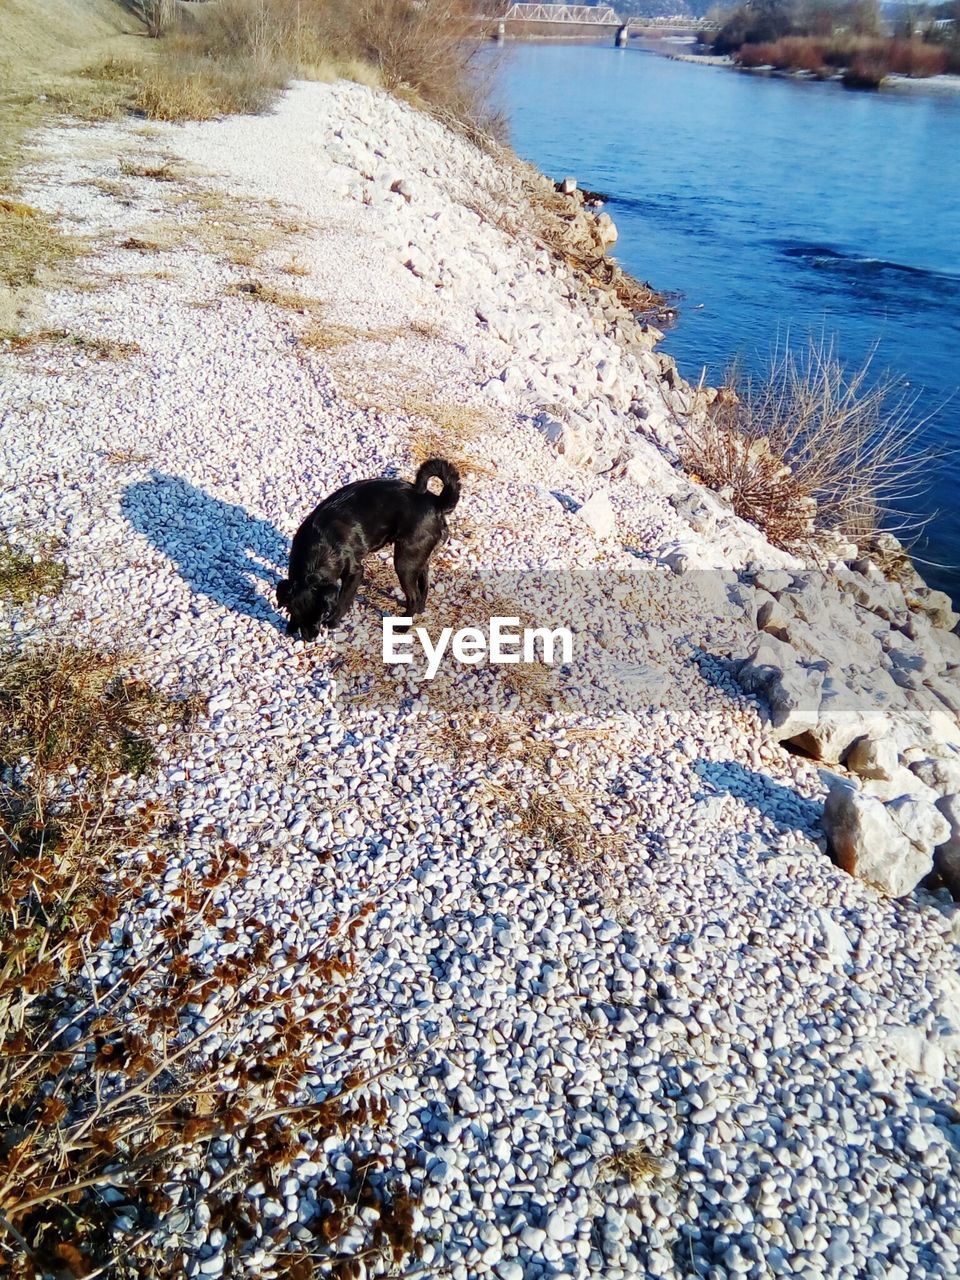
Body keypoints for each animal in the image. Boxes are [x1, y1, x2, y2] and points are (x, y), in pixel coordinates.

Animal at [277, 460, 463, 640]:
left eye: (323, 614)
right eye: (296, 615)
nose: (310, 638)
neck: (317, 553)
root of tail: (436, 503)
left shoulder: (355, 572)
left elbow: (343, 600)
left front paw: (333, 622)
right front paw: (291, 625)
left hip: (404, 562)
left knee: (414, 596)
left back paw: (403, 626)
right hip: (419, 558)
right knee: (424, 586)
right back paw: (419, 609)